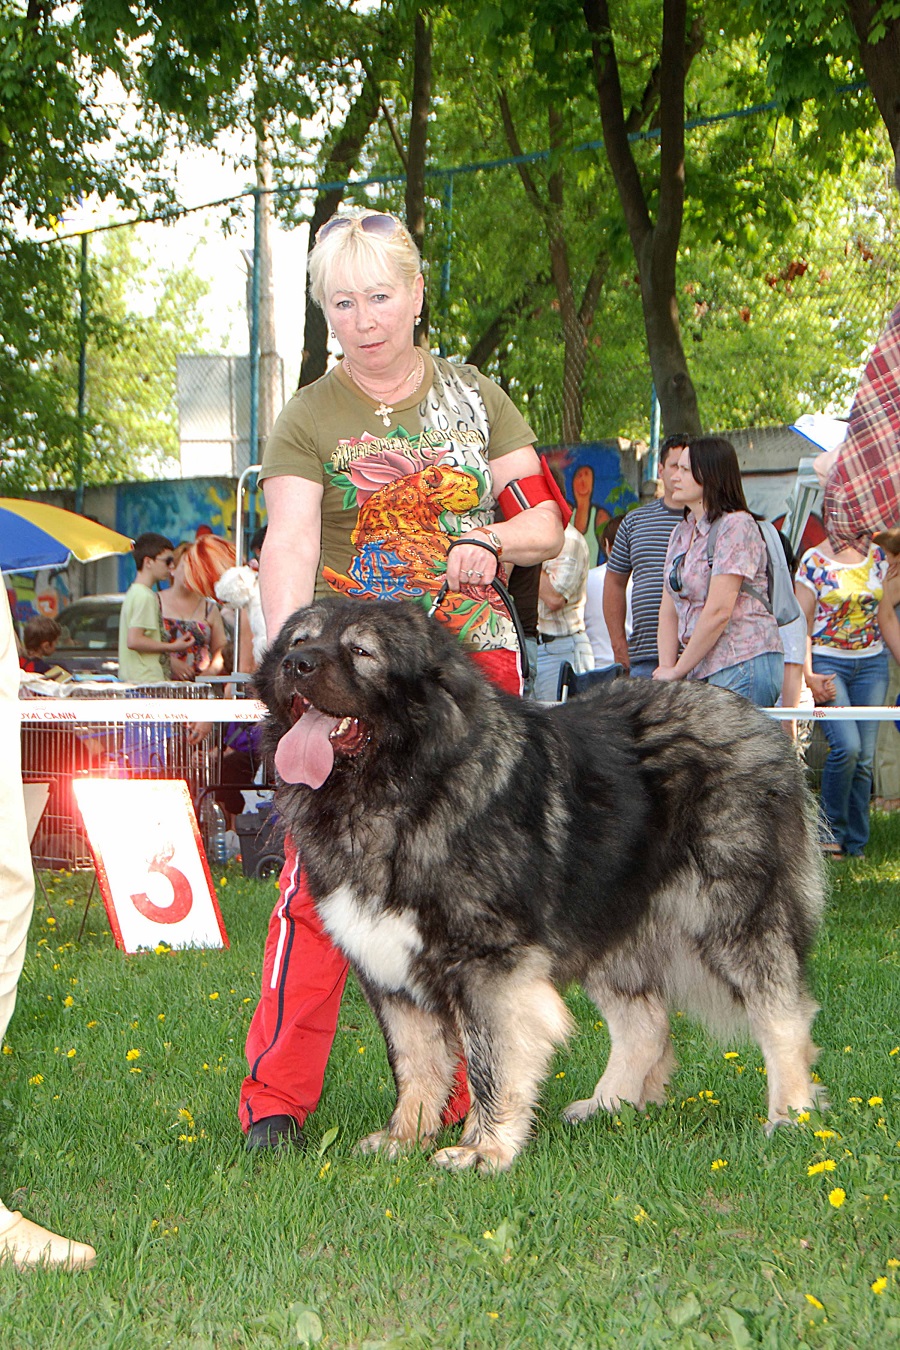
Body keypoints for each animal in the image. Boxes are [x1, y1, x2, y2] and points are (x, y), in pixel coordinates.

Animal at [256, 594, 825, 1171]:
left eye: (361, 651)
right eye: (300, 641)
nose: (296, 665)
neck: (402, 789)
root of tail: (757, 720)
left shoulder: (490, 966)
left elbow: (489, 1062)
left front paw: (482, 1149)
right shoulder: (387, 965)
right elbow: (415, 1061)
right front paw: (404, 1137)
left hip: (733, 914)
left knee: (783, 1014)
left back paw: (791, 1114)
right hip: (611, 920)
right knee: (644, 1024)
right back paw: (608, 1104)